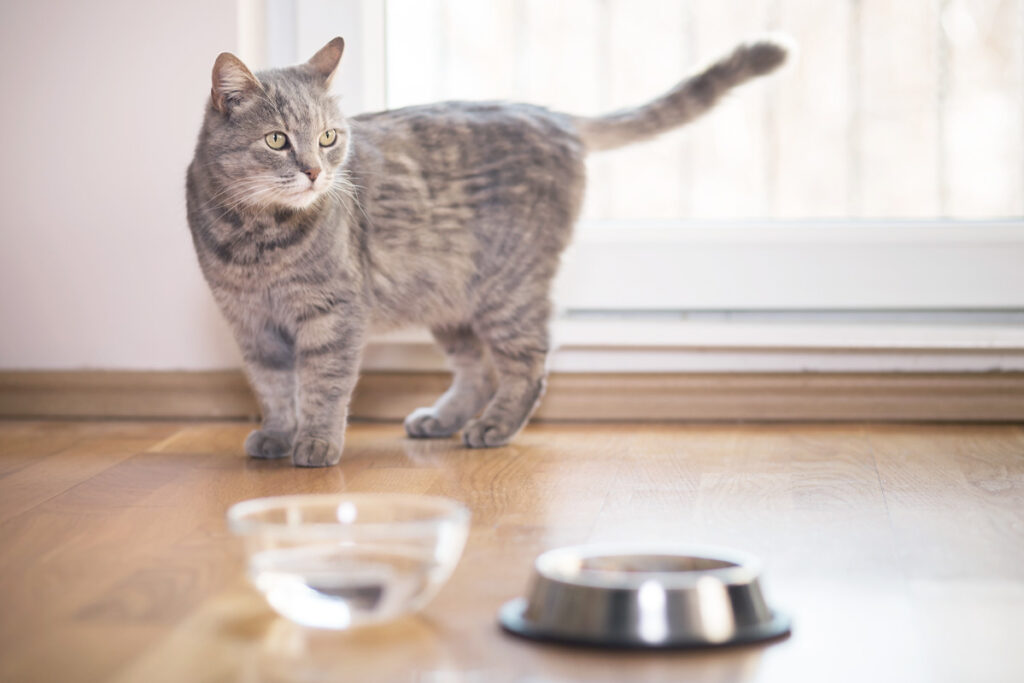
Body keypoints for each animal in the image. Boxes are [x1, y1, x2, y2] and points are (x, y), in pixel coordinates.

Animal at [186, 36, 790, 464]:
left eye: (329, 138)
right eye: (277, 140)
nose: (315, 171)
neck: (258, 240)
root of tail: (555, 116)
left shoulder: (333, 316)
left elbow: (322, 386)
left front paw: (314, 441)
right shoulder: (251, 325)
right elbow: (273, 387)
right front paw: (278, 434)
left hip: (509, 293)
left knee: (529, 366)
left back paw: (493, 427)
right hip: (450, 301)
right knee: (475, 370)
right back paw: (443, 419)